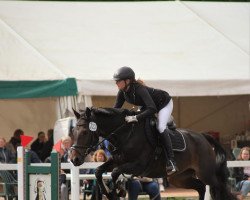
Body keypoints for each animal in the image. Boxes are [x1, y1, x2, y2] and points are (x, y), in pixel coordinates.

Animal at [70, 108, 234, 200]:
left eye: (85, 132)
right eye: (73, 131)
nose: (74, 159)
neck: (126, 134)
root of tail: (203, 136)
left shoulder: (138, 166)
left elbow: (115, 172)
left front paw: (116, 192)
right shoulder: (117, 160)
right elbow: (98, 171)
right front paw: (111, 193)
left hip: (206, 174)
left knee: (219, 187)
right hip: (180, 177)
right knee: (200, 187)